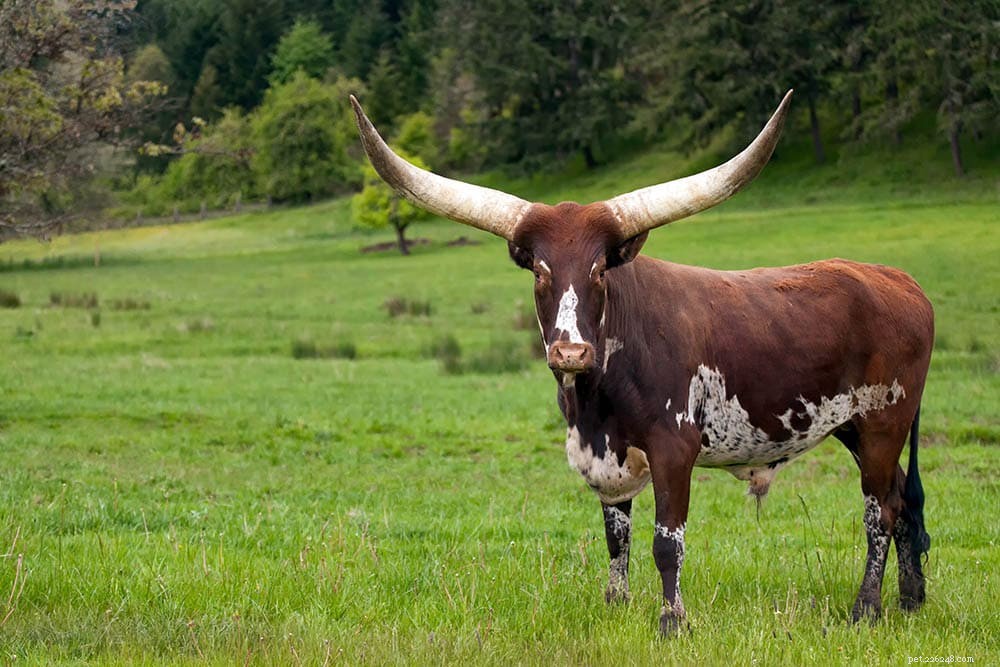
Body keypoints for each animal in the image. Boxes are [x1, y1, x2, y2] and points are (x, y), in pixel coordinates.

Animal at [349, 91, 933, 636]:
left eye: (598, 270)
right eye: (539, 270)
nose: (570, 352)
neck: (596, 401)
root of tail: (903, 282)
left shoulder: (674, 447)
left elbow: (665, 542)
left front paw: (672, 620)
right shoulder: (605, 456)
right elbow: (616, 537)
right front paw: (616, 604)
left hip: (883, 423)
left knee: (879, 511)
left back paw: (866, 608)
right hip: (854, 428)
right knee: (902, 500)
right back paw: (910, 600)